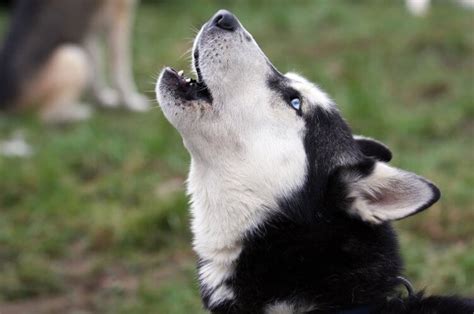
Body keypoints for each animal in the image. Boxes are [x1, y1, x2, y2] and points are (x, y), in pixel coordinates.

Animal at [0, 0, 148, 124]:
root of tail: (5, 102)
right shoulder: (119, 18)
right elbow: (120, 70)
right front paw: (131, 103)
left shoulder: (91, 29)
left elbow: (96, 69)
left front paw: (102, 99)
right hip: (74, 57)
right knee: (45, 116)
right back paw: (81, 113)